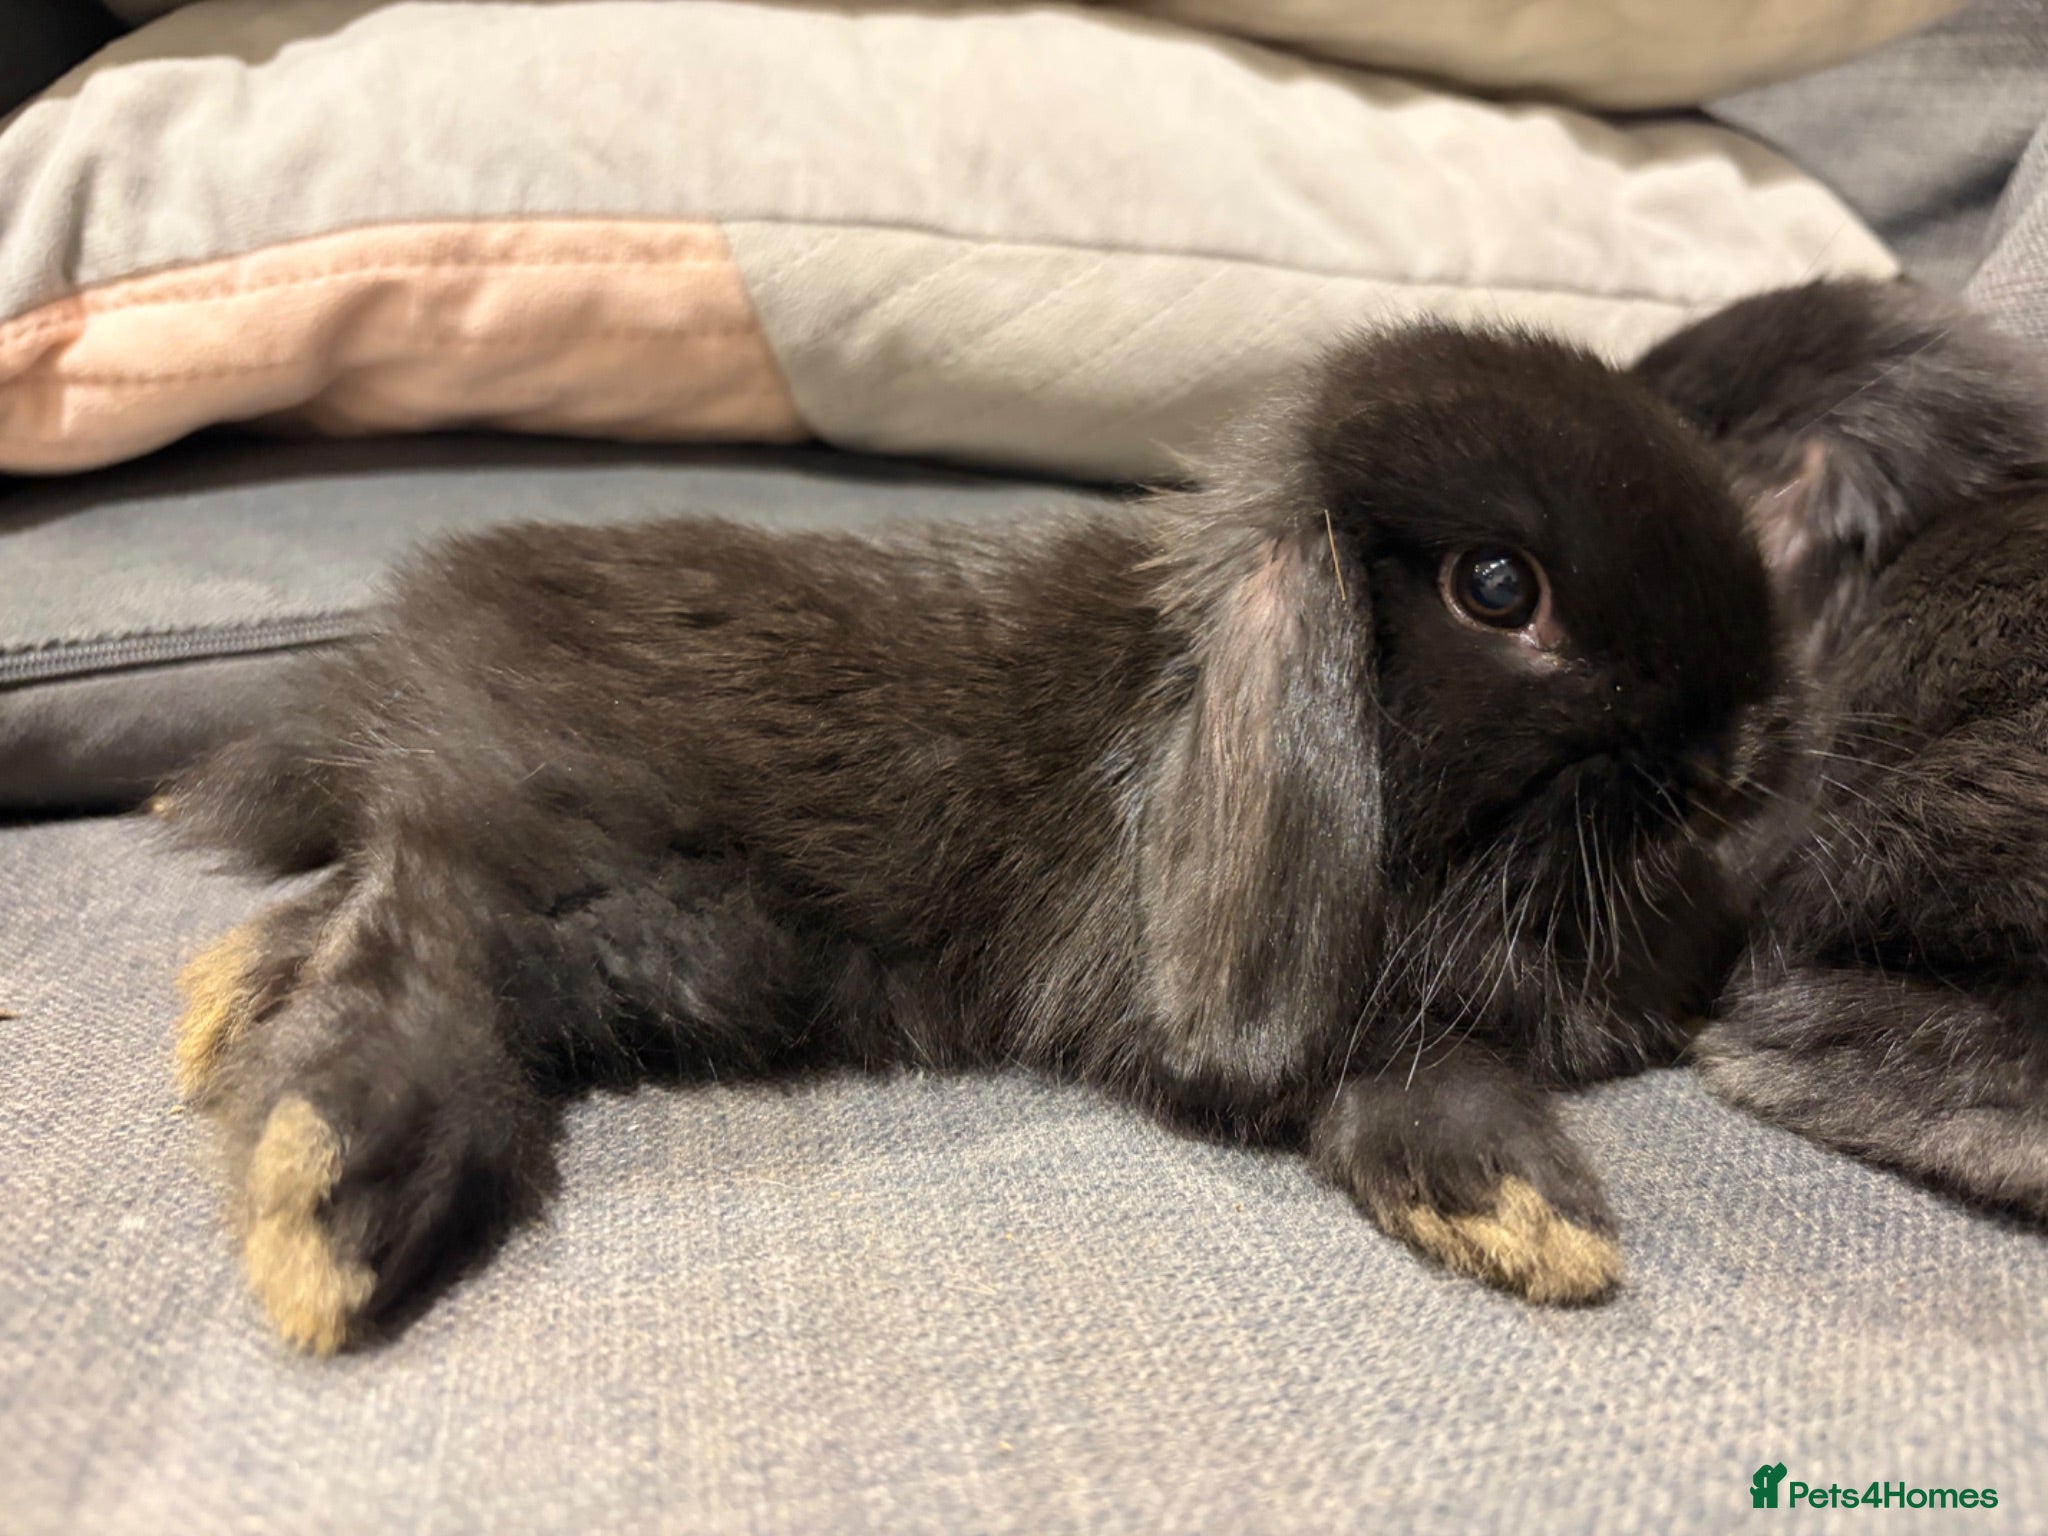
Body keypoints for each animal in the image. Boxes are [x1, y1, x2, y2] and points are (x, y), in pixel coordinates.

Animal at [159, 321, 1793, 1353]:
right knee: (414, 930)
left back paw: (229, 1003)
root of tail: (394, 660)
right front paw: (1523, 1210)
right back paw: (333, 1195)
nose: (1731, 754)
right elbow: (1403, 1060)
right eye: (1499, 588)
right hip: (626, 902)